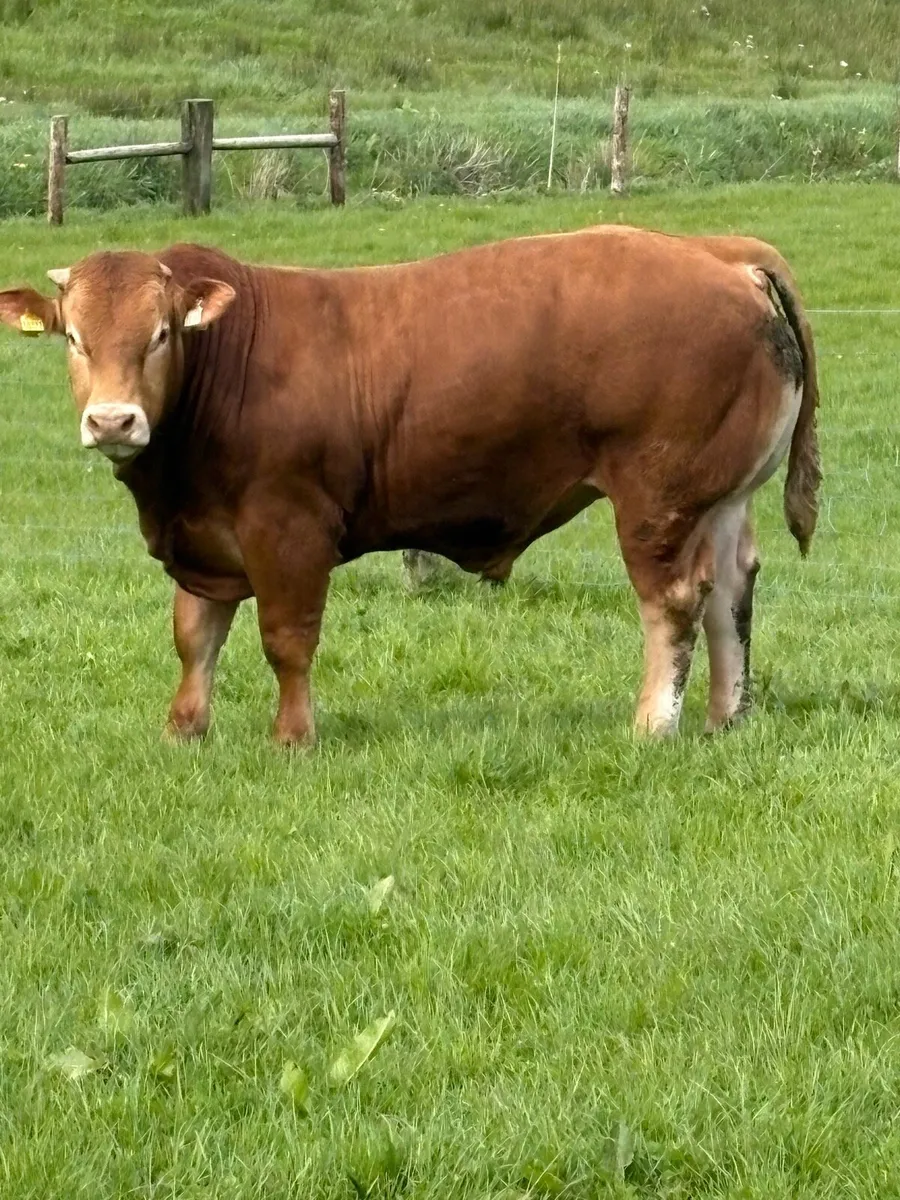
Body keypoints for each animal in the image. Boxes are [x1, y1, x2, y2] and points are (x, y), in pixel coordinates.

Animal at [0, 227, 819, 744]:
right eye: (75, 337)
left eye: (161, 334)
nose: (113, 420)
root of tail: (716, 252)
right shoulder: (204, 535)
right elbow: (195, 636)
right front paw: (184, 730)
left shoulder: (287, 529)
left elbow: (286, 638)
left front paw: (292, 736)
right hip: (721, 498)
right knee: (731, 596)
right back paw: (724, 719)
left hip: (657, 500)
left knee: (675, 605)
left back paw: (653, 725)